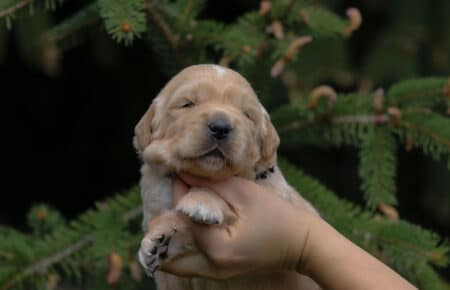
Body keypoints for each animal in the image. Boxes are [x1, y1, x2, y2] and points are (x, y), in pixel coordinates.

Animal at [134, 64, 320, 290]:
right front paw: (158, 242)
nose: (221, 127)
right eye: (187, 104)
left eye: (247, 114)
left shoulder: (271, 192)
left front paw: (201, 202)